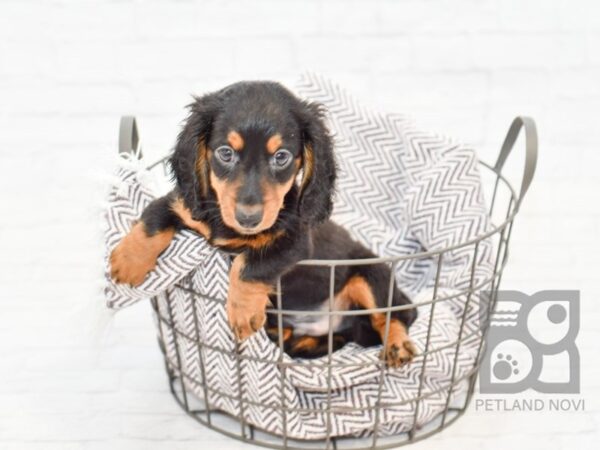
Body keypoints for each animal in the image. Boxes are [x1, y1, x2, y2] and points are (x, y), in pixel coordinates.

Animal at [109, 82, 418, 368]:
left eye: (281, 156)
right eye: (225, 153)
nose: (248, 218)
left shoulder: (294, 241)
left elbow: (249, 265)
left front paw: (242, 312)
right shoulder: (185, 205)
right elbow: (153, 216)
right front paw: (127, 262)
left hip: (371, 275)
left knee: (398, 314)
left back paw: (397, 346)